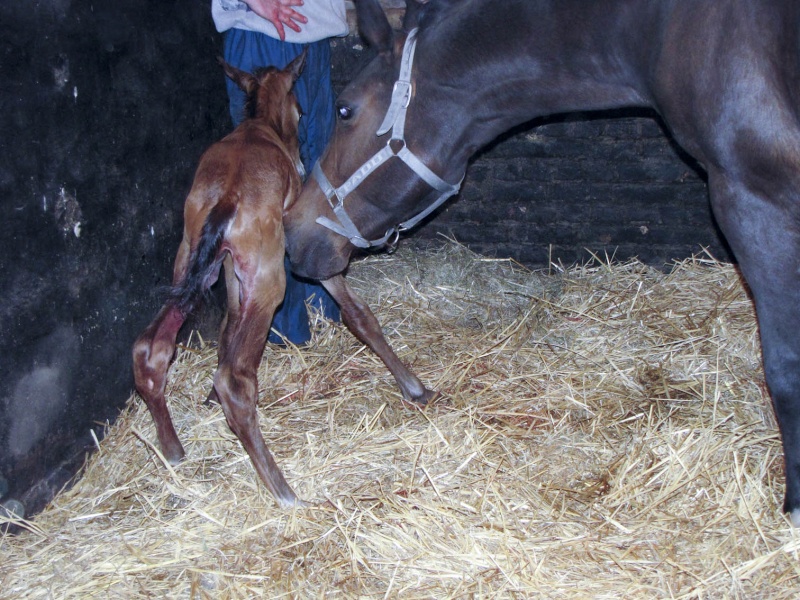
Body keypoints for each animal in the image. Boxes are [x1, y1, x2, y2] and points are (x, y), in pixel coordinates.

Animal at [133, 54, 432, 508]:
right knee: (236, 381)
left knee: (152, 348)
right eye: (300, 104)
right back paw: (284, 490)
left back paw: (173, 449)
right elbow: (357, 313)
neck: (261, 127)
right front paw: (413, 386)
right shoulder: (304, 246)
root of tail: (226, 197)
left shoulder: (230, 268)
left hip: (189, 264)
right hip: (268, 279)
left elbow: (227, 323)